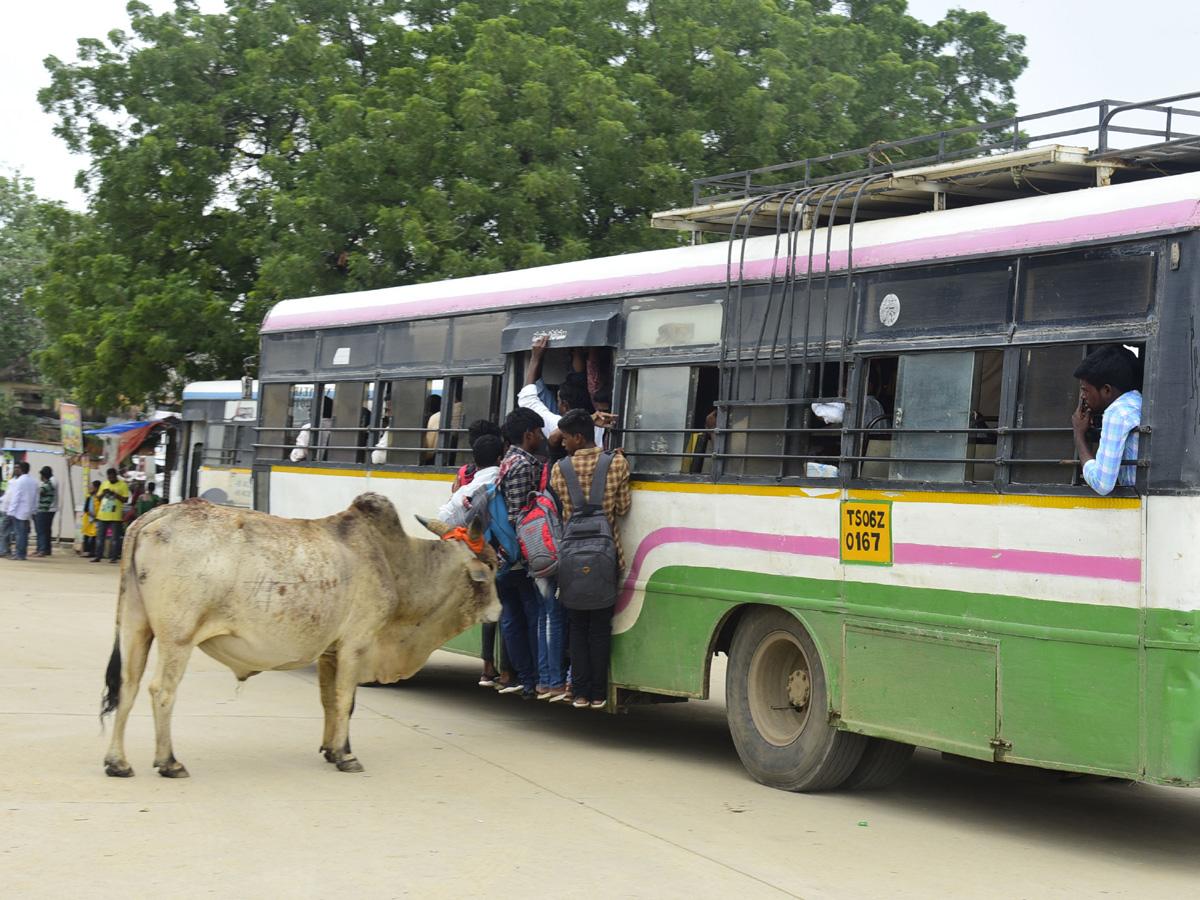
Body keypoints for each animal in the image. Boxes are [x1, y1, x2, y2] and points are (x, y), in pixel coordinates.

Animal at [100, 489, 499, 777]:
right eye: (493, 567)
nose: (498, 610)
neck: (395, 561)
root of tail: (156, 514)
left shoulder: (330, 652)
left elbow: (330, 701)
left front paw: (332, 749)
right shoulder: (356, 644)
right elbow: (345, 699)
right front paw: (346, 757)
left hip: (136, 627)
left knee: (127, 686)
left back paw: (117, 762)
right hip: (177, 638)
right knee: (161, 691)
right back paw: (169, 762)